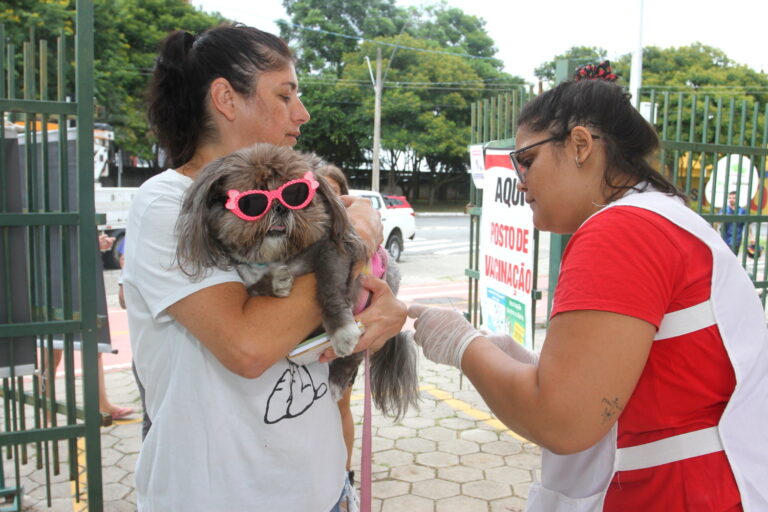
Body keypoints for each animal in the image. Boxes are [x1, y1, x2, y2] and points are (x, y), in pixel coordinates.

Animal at [175, 142, 420, 418]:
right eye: (253, 198)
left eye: (295, 193)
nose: (280, 207)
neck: (274, 256)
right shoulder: (246, 276)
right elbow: (255, 287)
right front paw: (275, 282)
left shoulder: (332, 250)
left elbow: (329, 288)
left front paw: (341, 331)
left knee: (353, 357)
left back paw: (336, 381)